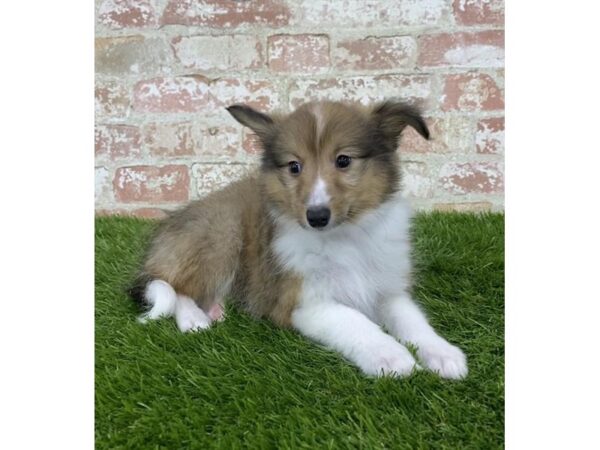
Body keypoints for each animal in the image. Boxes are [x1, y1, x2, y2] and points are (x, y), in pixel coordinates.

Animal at [130, 100, 468, 378]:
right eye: (294, 166)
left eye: (343, 160)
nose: (316, 216)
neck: (344, 238)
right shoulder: (301, 302)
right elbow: (355, 320)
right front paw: (392, 356)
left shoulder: (386, 288)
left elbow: (413, 320)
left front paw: (444, 354)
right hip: (221, 234)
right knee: (174, 286)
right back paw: (194, 319)